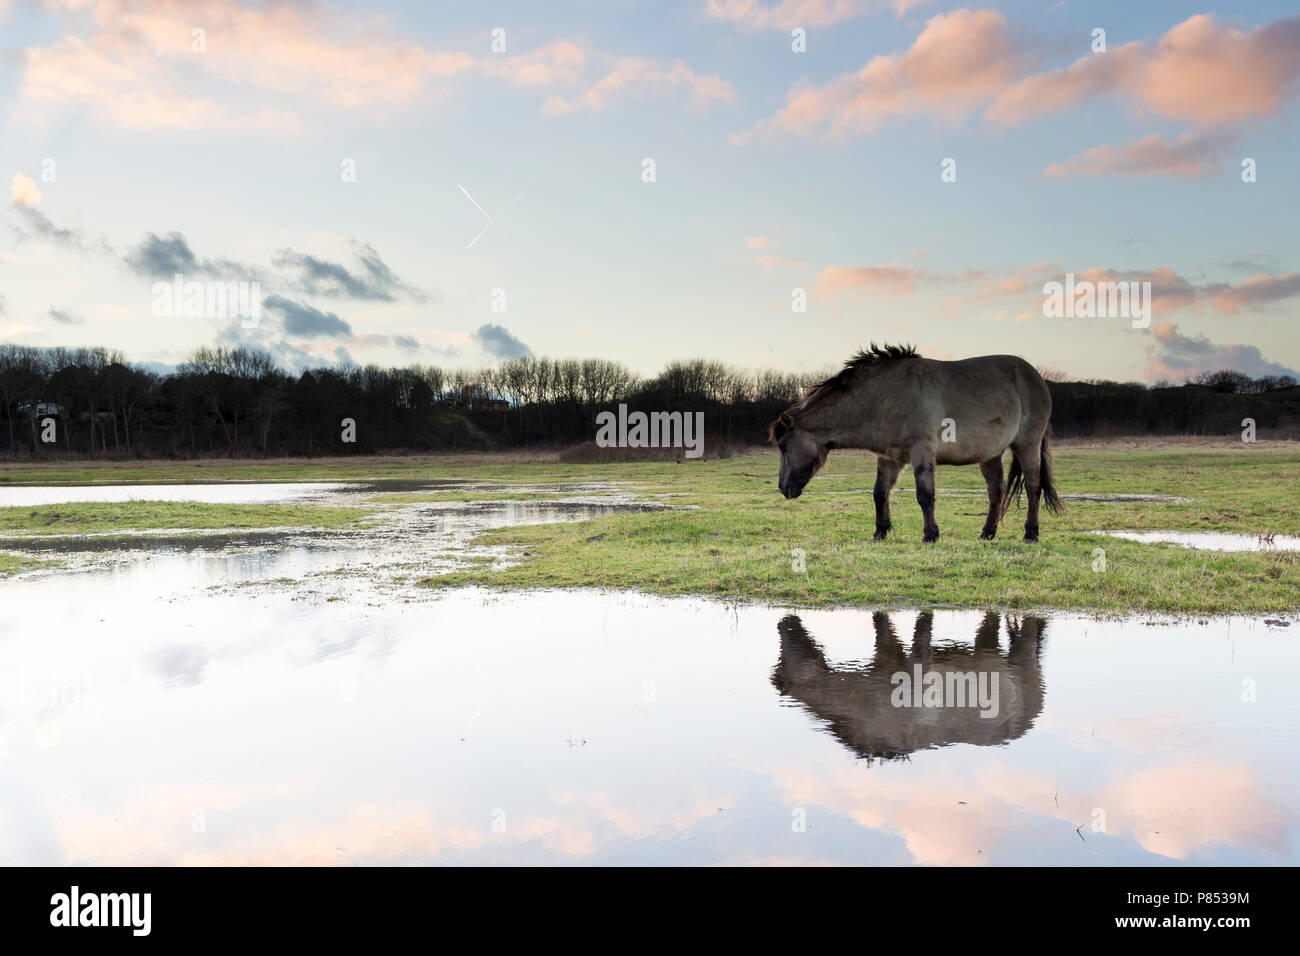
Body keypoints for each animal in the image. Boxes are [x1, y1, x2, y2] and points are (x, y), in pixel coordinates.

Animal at [764, 343, 1060, 541]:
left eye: (783, 447)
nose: (783, 488)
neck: (884, 396)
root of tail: (1035, 376)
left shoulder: (921, 452)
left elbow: (925, 495)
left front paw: (930, 534)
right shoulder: (889, 458)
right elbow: (879, 493)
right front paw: (880, 532)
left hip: (1027, 445)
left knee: (1033, 487)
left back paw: (1031, 533)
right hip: (990, 455)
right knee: (996, 490)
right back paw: (987, 533)